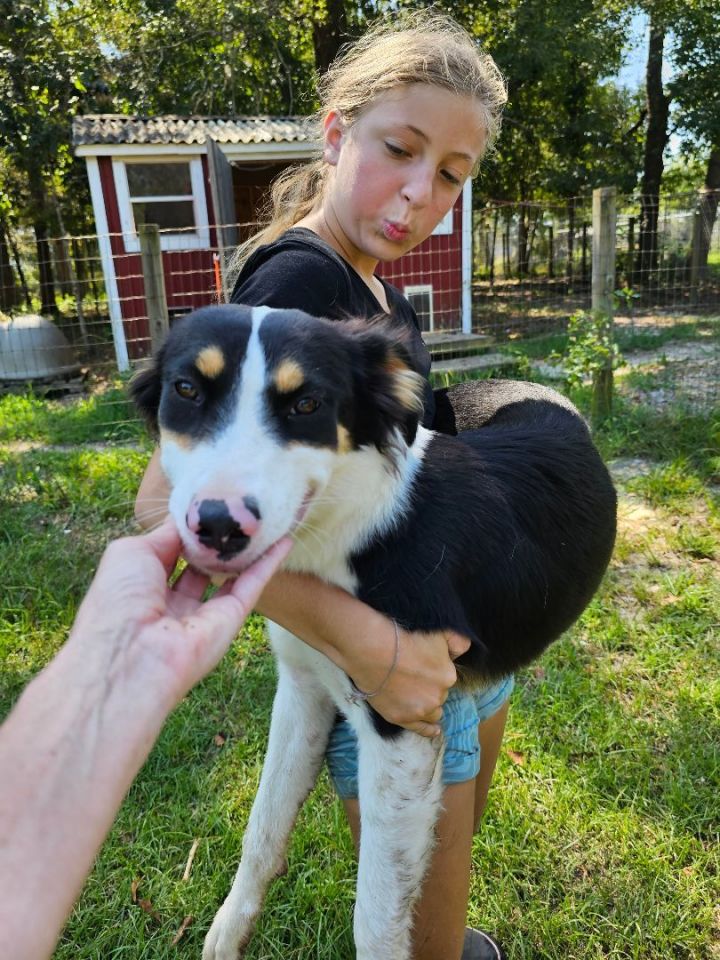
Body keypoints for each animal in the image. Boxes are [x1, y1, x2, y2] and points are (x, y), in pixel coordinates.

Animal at [132, 306, 616, 960]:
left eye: (307, 403)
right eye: (185, 389)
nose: (217, 527)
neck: (345, 526)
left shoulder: (401, 732)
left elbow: (377, 917)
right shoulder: (304, 688)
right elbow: (262, 828)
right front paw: (229, 931)